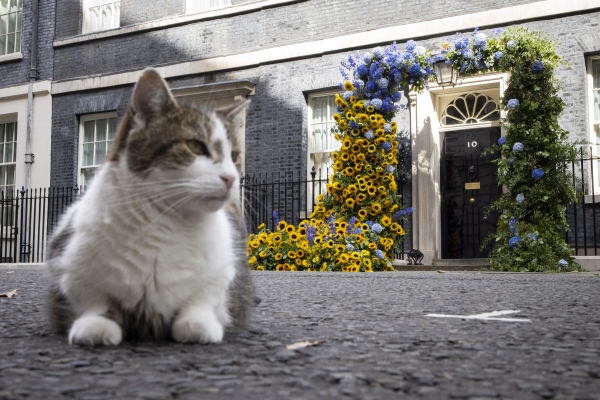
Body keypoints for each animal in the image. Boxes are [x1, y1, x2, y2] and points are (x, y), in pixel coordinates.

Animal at [45, 69, 255, 346]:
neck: (165, 221)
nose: (231, 178)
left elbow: (204, 297)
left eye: (234, 156)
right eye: (195, 146)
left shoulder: (227, 271)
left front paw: (196, 322)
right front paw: (97, 324)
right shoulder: (68, 262)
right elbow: (95, 298)